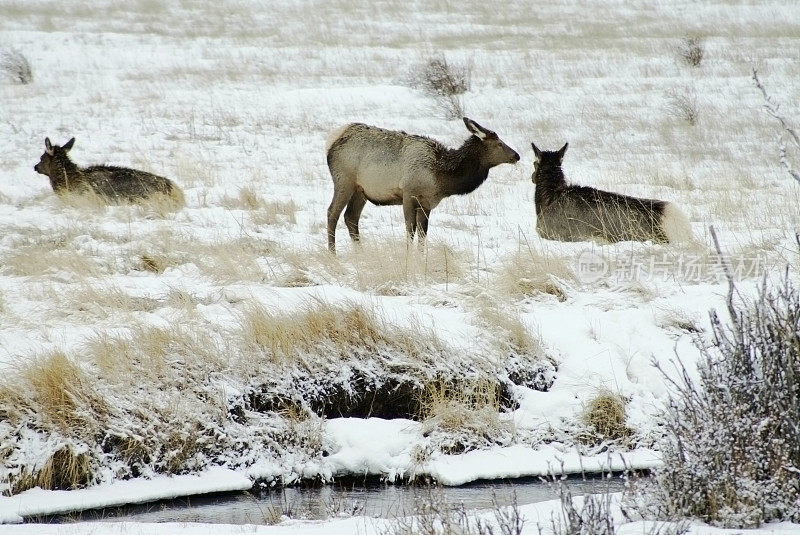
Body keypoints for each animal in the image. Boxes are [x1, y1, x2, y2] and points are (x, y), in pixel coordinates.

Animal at [324, 118, 520, 252]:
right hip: (344, 180)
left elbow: (423, 232)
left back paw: (360, 252)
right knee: (332, 212)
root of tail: (331, 140)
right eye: (499, 144)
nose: (517, 155)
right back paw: (333, 253)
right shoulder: (408, 192)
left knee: (351, 217)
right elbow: (410, 230)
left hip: (361, 190)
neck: (440, 176)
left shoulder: (427, 202)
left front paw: (420, 256)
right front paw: (409, 256)